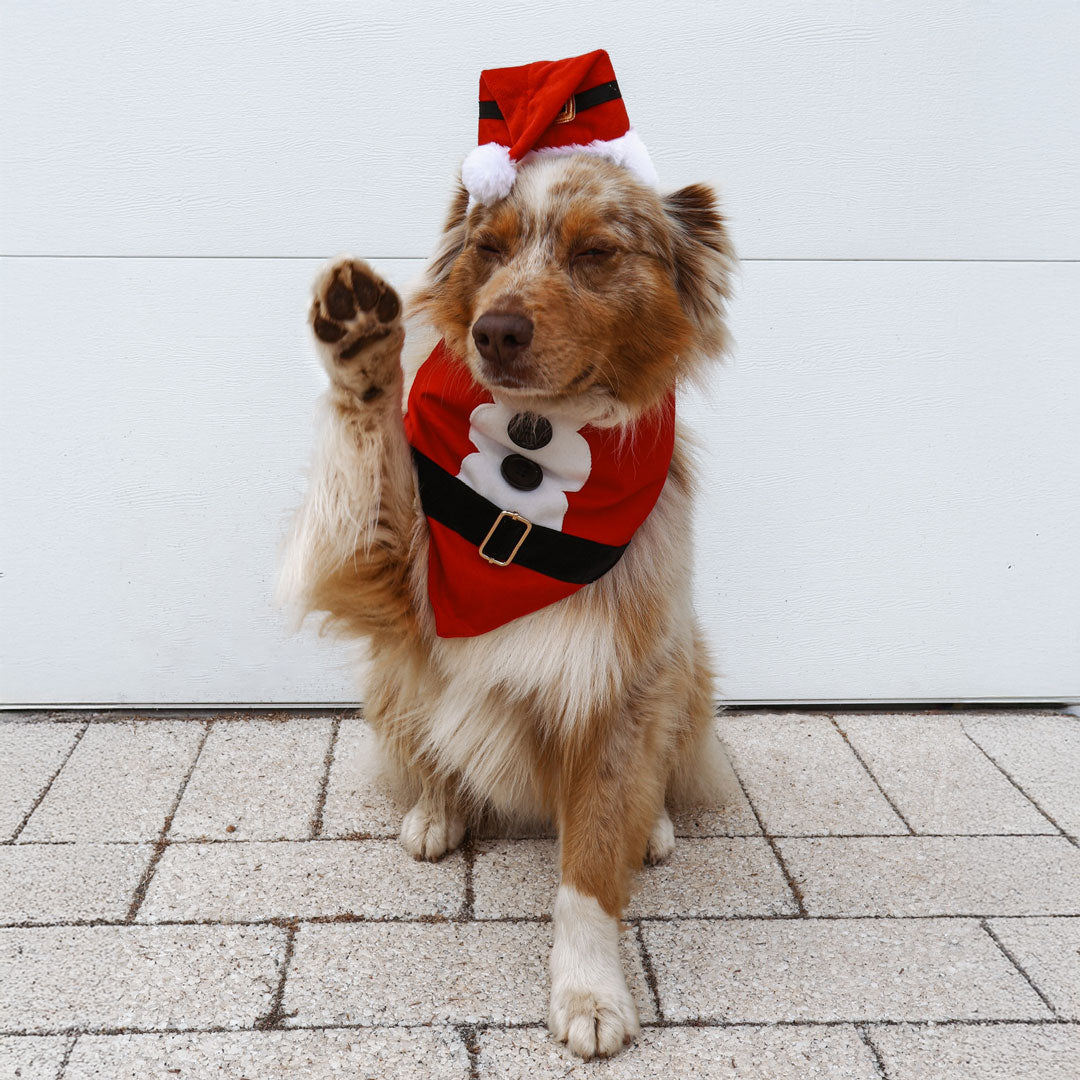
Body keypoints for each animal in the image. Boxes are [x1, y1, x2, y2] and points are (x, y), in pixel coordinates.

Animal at [278, 145, 734, 1054]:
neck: (533, 449)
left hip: (688, 661)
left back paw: (656, 827)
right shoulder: (383, 577)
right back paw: (437, 810)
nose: (495, 330)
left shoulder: (621, 680)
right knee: (431, 748)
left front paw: (590, 992)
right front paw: (361, 346)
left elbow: (591, 867)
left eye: (596, 253)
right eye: (489, 249)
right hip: (388, 676)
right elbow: (368, 455)